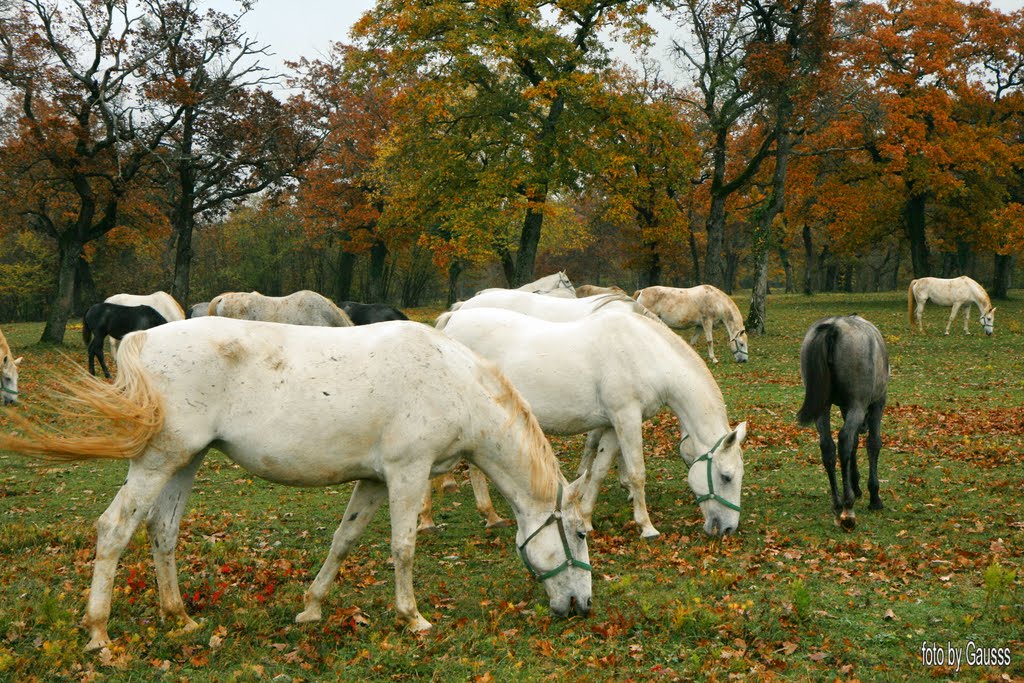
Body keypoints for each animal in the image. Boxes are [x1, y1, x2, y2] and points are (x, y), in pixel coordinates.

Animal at [0, 317, 593, 651]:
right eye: (582, 535)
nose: (583, 608)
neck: (453, 381)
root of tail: (142, 338)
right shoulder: (407, 473)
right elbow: (403, 547)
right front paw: (414, 618)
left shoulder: (374, 480)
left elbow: (345, 539)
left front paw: (311, 606)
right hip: (157, 461)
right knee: (115, 530)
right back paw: (99, 634)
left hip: (183, 462)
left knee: (162, 533)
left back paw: (179, 617)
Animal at [428, 309, 749, 540]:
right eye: (726, 477)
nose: (728, 529)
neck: (644, 352)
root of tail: (451, 320)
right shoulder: (627, 418)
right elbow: (636, 473)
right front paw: (647, 527)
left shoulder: (611, 425)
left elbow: (599, 470)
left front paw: (585, 517)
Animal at [790, 315, 888, 532]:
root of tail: (834, 327)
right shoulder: (877, 404)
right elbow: (873, 444)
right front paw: (874, 496)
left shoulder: (845, 408)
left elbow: (855, 445)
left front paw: (855, 484)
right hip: (858, 405)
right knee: (844, 441)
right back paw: (848, 506)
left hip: (823, 408)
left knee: (828, 446)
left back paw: (837, 502)